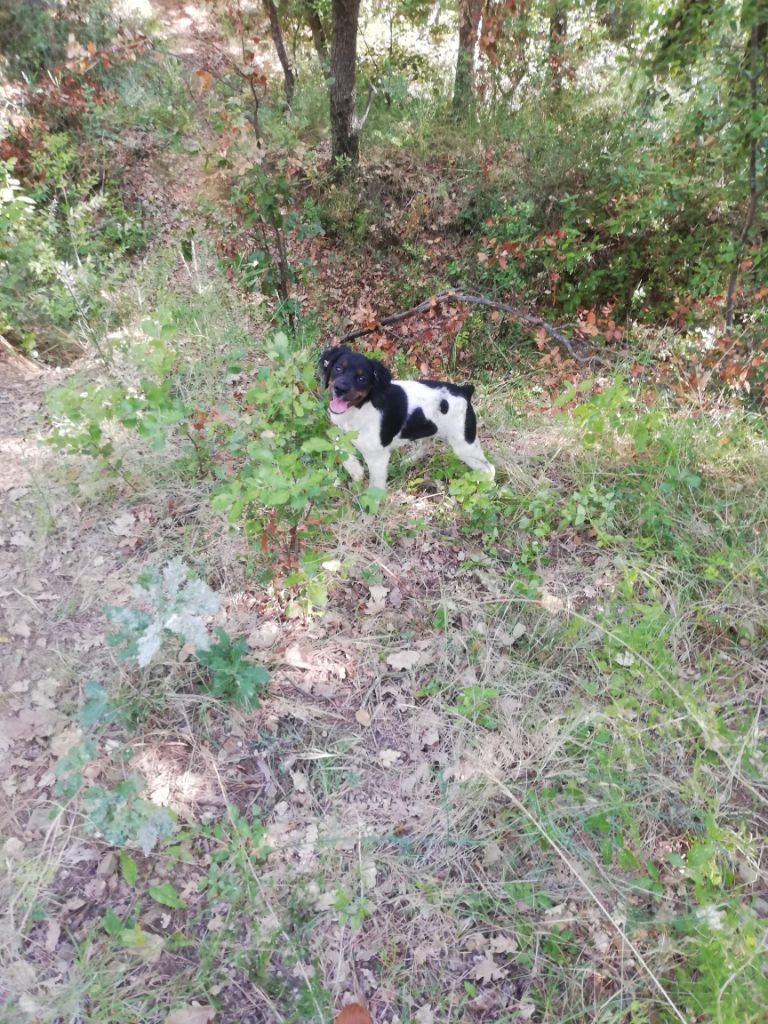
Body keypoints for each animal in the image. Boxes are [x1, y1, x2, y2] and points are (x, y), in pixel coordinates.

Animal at [319, 346, 495, 489]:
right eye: (338, 368)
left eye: (362, 378)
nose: (339, 389)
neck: (361, 408)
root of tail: (465, 391)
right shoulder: (343, 432)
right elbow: (338, 446)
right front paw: (356, 470)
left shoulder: (378, 457)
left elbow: (376, 485)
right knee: (425, 447)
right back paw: (408, 461)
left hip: (465, 445)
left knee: (489, 468)